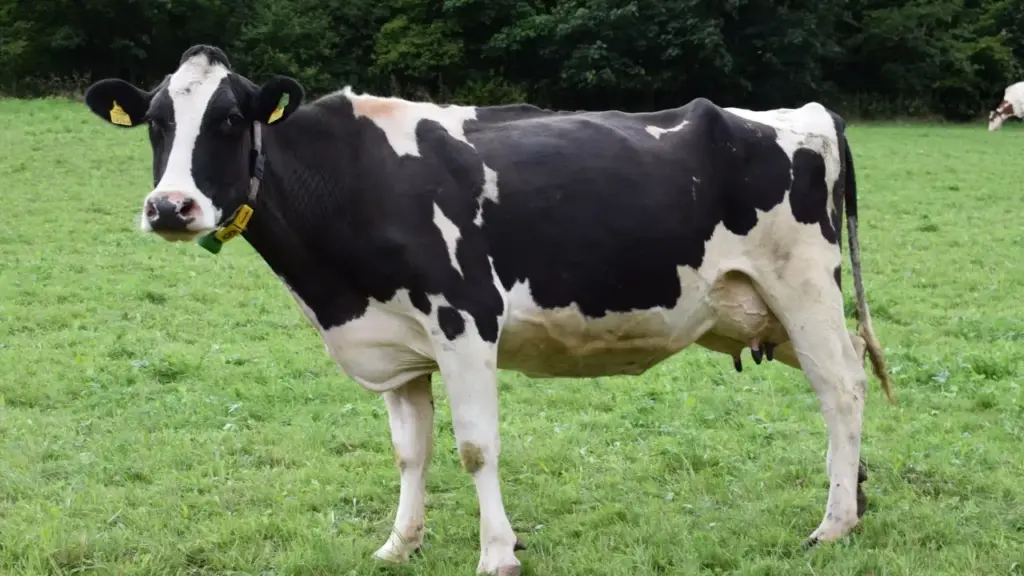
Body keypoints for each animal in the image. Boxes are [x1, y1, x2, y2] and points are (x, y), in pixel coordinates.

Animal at [82, 45, 894, 575]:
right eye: (156, 121)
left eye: (228, 120)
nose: (170, 207)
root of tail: (804, 112)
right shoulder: (398, 343)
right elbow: (410, 451)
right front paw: (400, 544)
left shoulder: (465, 320)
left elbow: (476, 447)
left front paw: (497, 553)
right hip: (769, 311)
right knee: (845, 382)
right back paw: (854, 499)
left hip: (804, 289)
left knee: (843, 390)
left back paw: (831, 525)